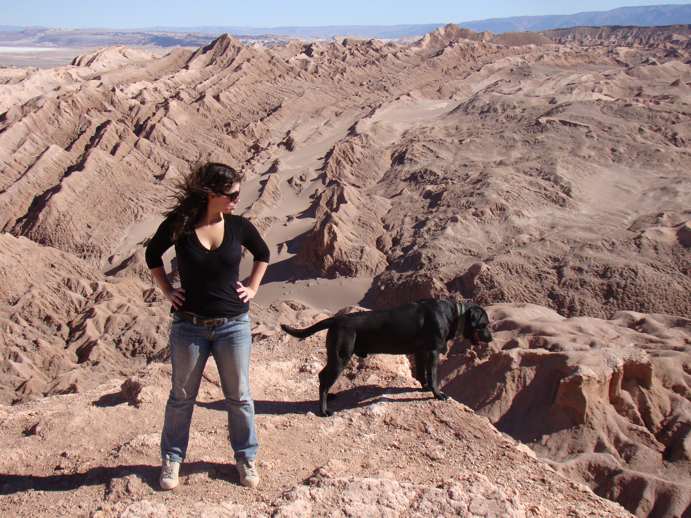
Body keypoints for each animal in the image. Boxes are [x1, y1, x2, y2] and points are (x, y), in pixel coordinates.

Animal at [280, 299, 492, 416]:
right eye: (484, 324)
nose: (490, 338)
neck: (454, 314)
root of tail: (337, 319)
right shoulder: (432, 351)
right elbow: (433, 375)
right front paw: (437, 394)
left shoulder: (421, 351)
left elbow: (422, 372)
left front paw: (424, 387)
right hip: (341, 356)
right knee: (325, 378)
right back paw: (323, 411)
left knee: (322, 377)